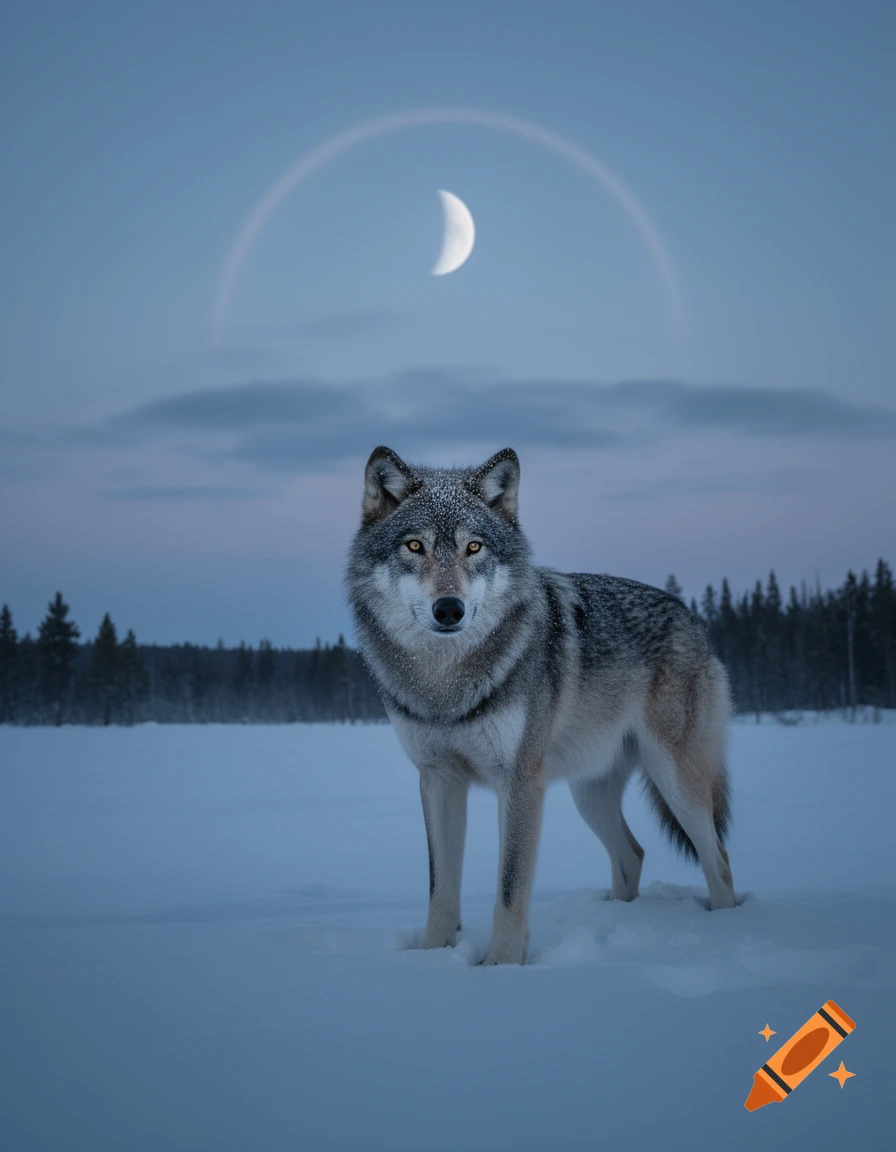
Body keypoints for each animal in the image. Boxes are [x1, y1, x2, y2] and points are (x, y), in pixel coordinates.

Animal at [345, 446, 736, 965]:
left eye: (474, 548)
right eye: (414, 547)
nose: (449, 609)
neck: (446, 683)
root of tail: (691, 616)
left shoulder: (521, 782)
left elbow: (510, 889)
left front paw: (501, 966)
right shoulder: (438, 778)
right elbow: (440, 889)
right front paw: (432, 958)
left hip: (676, 781)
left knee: (719, 859)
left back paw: (724, 932)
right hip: (589, 794)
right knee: (632, 855)